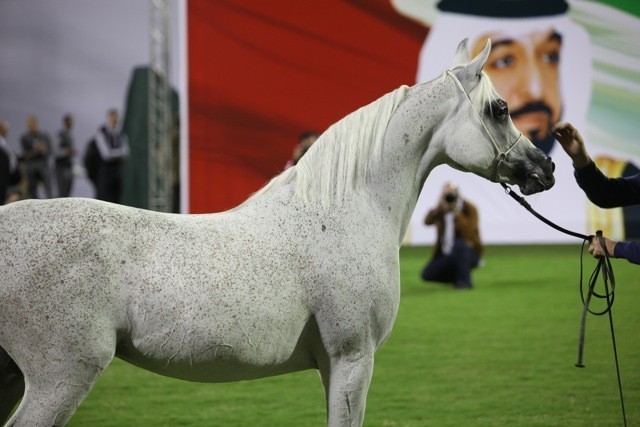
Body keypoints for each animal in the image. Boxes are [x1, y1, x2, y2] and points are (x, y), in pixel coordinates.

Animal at [0, 39, 554, 426]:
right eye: (500, 109)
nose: (545, 169)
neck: (345, 210)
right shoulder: (353, 358)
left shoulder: (333, 365)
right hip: (61, 377)